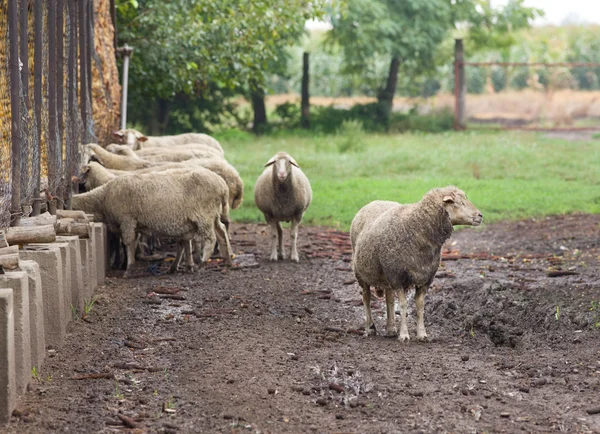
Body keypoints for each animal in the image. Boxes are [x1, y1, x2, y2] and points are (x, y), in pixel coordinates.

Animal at [352, 186, 482, 342]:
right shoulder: (398, 277)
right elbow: (403, 306)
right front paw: (404, 335)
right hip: (361, 272)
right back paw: (370, 327)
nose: (480, 215)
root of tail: (373, 202)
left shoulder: (424, 278)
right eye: (459, 203)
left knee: (389, 298)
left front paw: (422, 334)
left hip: (387, 273)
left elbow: (420, 306)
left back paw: (391, 329)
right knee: (366, 297)